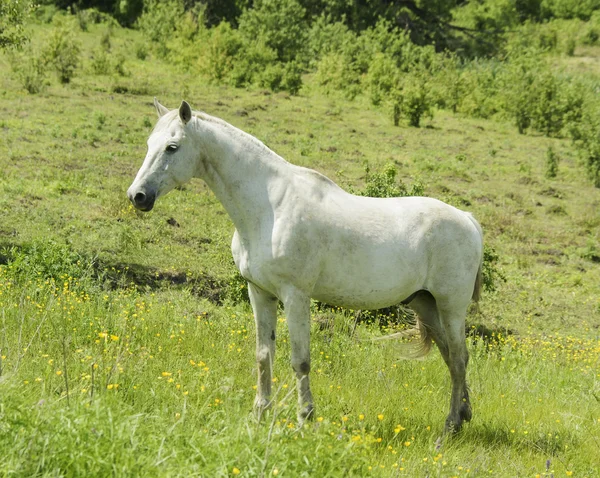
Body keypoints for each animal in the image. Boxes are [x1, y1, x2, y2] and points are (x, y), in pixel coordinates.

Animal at [129, 99, 486, 432]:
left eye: (172, 147)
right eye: (148, 143)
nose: (138, 196)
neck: (269, 207)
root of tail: (467, 220)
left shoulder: (295, 296)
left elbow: (300, 361)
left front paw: (305, 419)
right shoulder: (260, 293)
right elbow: (263, 355)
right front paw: (260, 415)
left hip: (451, 307)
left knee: (458, 358)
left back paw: (450, 425)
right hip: (425, 303)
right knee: (451, 356)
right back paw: (463, 414)